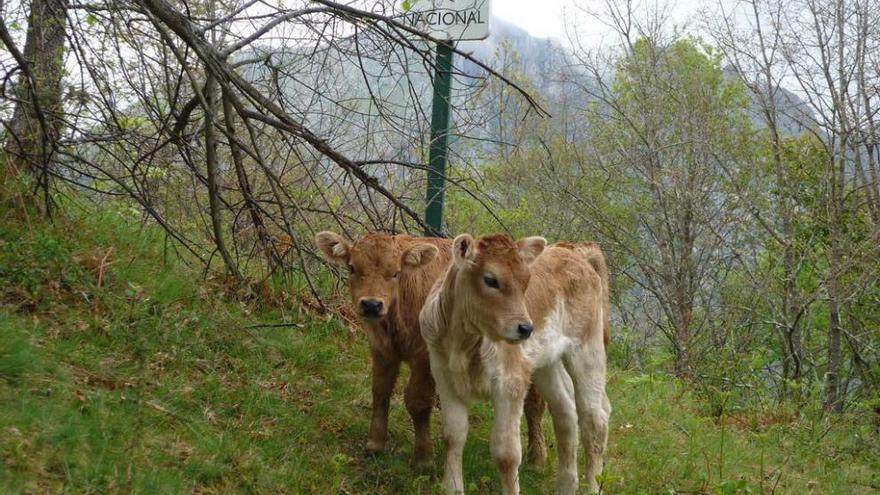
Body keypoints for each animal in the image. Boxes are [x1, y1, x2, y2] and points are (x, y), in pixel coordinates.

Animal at [316, 231, 552, 466]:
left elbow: (417, 401)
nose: (372, 305)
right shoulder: (383, 351)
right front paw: (375, 443)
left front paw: (424, 458)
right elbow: (380, 391)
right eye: (352, 268)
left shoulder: (424, 358)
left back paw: (537, 458)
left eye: (396, 272)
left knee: (535, 404)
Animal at [422, 233, 612, 495]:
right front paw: (452, 487)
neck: (463, 341)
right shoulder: (444, 375)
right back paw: (565, 485)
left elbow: (507, 454)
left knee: (595, 420)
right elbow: (453, 435)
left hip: (588, 350)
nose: (526, 328)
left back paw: (592, 486)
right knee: (565, 412)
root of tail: (573, 252)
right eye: (490, 279)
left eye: (526, 281)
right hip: (547, 363)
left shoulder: (510, 381)